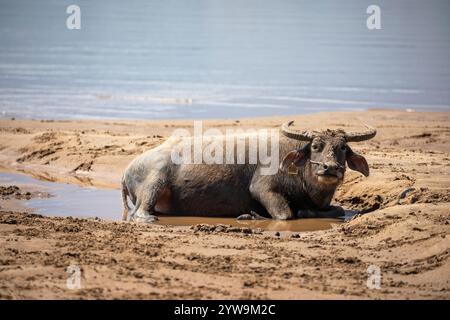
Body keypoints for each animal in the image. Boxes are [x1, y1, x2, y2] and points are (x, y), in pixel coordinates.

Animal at [120, 121, 376, 221]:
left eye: (343, 148)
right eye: (315, 146)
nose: (330, 167)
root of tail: (126, 171)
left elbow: (339, 210)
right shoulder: (263, 189)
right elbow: (285, 214)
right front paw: (251, 215)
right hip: (155, 182)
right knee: (140, 212)